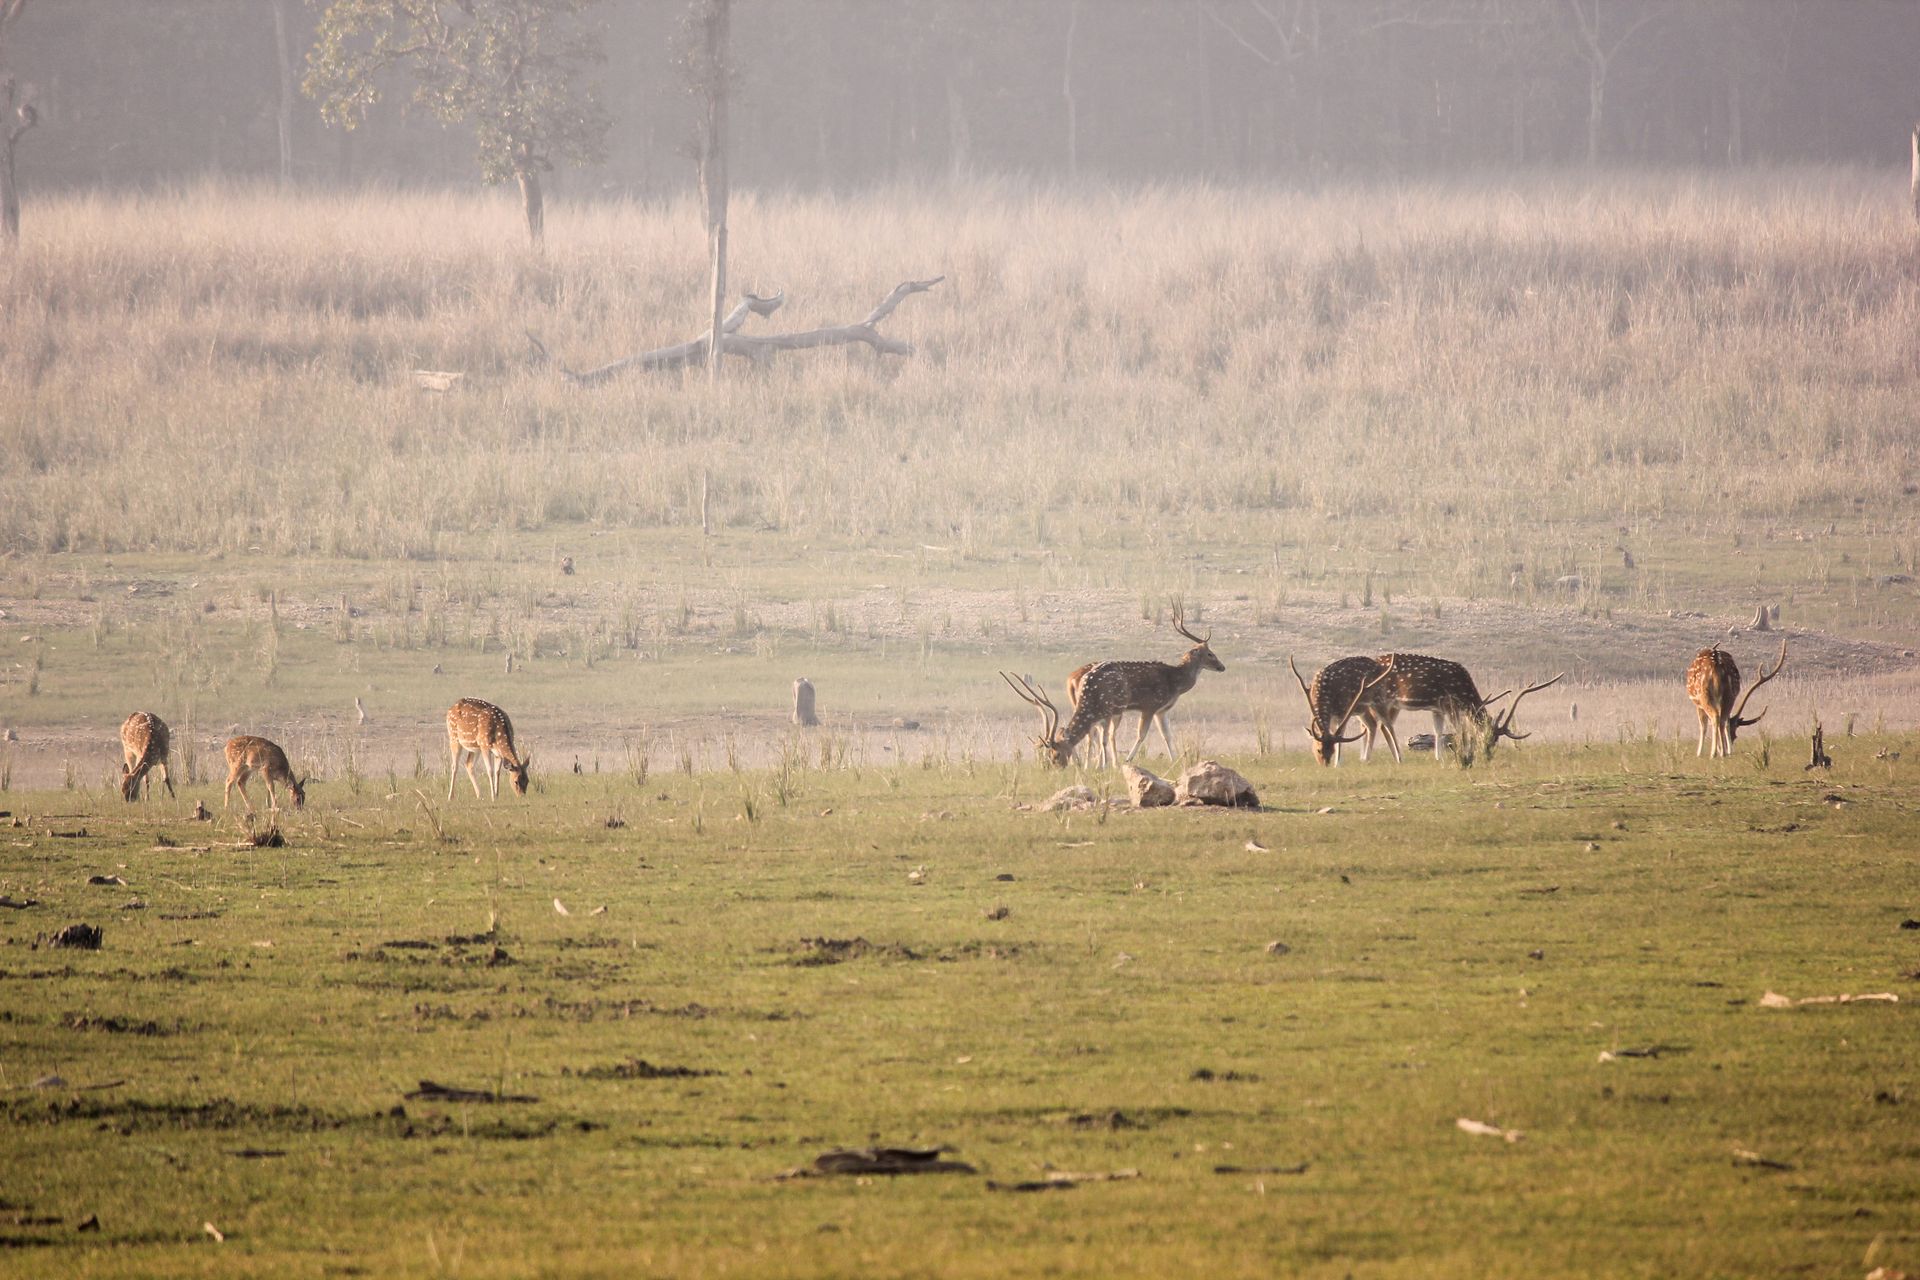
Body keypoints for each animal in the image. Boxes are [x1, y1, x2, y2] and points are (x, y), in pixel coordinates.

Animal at [1366, 653, 1564, 762]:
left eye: (1495, 740)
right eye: (1487, 736)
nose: (1487, 754)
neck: (1464, 691)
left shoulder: (1437, 707)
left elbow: (1438, 731)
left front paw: (1439, 758)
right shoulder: (1448, 703)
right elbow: (1459, 728)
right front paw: (1465, 754)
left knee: (1379, 725)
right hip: (1384, 699)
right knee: (1379, 724)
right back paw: (1388, 757)